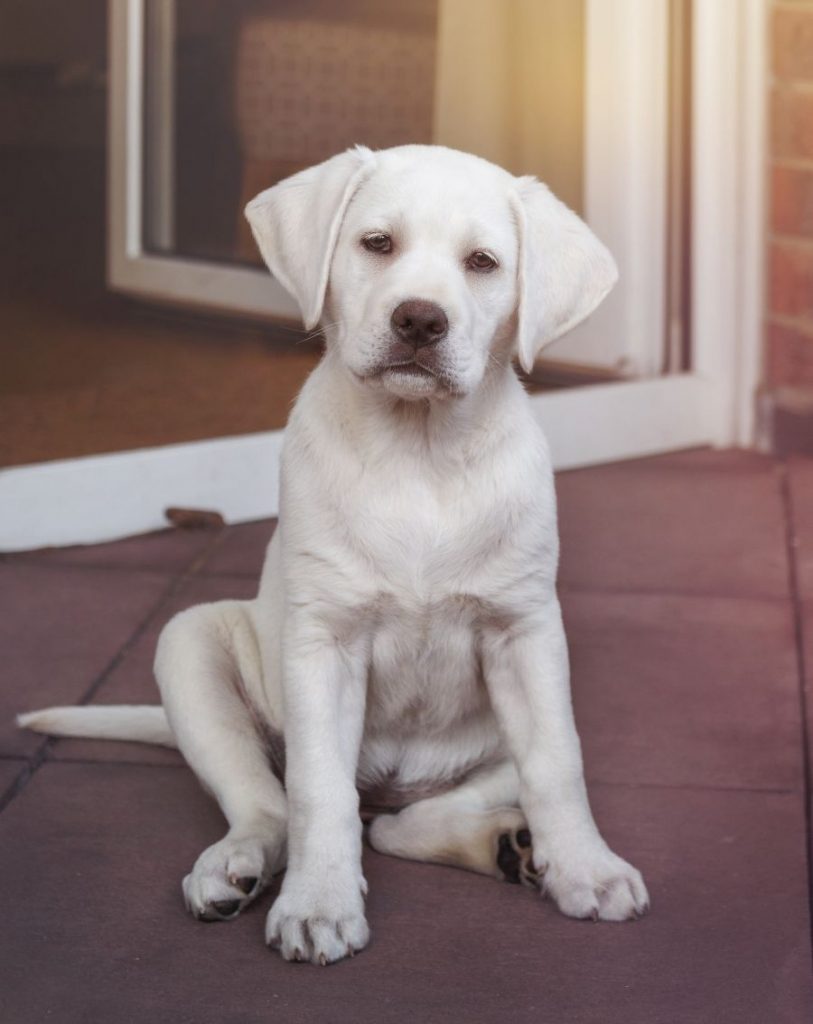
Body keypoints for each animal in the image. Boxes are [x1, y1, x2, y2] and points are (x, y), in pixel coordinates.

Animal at [20, 146, 647, 966]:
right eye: (376, 243)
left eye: (482, 262)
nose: (420, 319)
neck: (418, 451)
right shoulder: (325, 643)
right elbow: (318, 790)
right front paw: (318, 905)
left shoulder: (526, 634)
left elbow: (555, 766)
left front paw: (586, 870)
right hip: (188, 644)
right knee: (274, 803)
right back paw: (235, 868)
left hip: (495, 744)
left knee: (404, 823)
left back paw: (510, 847)